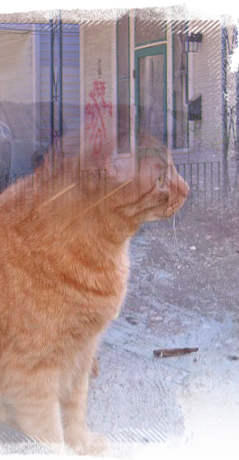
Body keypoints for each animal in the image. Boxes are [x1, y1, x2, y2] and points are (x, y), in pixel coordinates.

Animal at [0, 153, 189, 458]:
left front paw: (81, 444)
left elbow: (77, 405)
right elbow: (49, 436)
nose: (187, 189)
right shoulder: (31, 379)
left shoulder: (82, 349)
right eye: (160, 179)